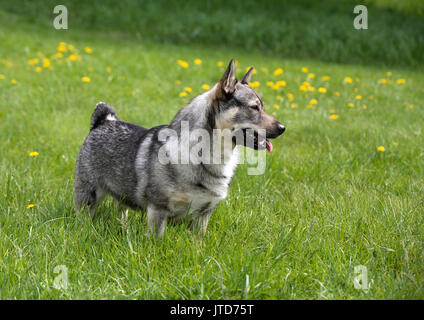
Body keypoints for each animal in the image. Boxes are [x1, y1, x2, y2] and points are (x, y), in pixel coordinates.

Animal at [73, 58, 284, 238]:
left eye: (263, 107)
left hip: (122, 194)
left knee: (121, 209)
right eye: (254, 108)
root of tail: (103, 122)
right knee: (84, 215)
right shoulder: (158, 211)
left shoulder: (202, 217)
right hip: (89, 195)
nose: (283, 128)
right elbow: (157, 240)